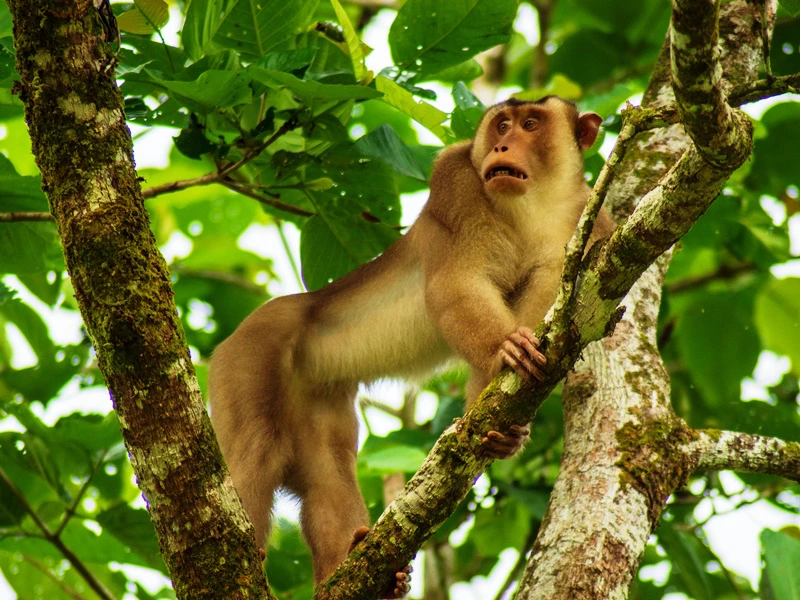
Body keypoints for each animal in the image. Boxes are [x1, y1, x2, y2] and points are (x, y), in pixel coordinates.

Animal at [208, 95, 615, 597]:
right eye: (502, 125)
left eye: (531, 124)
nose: (501, 145)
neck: (535, 204)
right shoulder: (456, 181)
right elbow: (454, 285)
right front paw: (504, 346)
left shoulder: (590, 222)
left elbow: (545, 330)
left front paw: (505, 435)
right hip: (250, 353)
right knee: (258, 445)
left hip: (316, 395)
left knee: (327, 472)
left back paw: (353, 570)